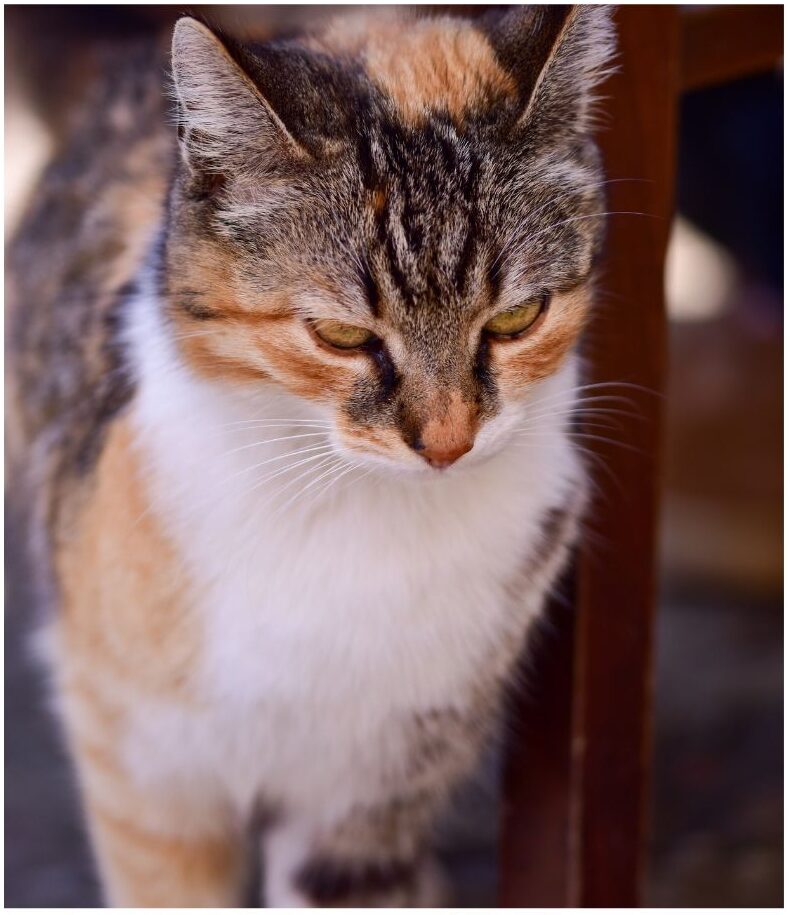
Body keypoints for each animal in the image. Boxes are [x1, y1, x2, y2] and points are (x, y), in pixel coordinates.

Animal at [7, 7, 620, 908]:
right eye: (341, 336)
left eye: (517, 318)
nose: (448, 440)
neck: (354, 516)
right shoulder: (148, 772)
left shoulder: (375, 784)